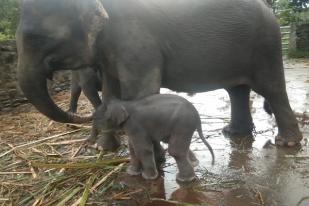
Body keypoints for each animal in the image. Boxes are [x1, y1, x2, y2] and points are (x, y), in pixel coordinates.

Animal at [16, 0, 300, 149]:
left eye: (36, 38)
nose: (80, 119)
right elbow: (110, 90)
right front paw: (103, 150)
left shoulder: (136, 39)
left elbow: (140, 91)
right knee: (237, 90)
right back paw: (233, 133)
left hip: (265, 44)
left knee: (271, 88)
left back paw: (286, 143)